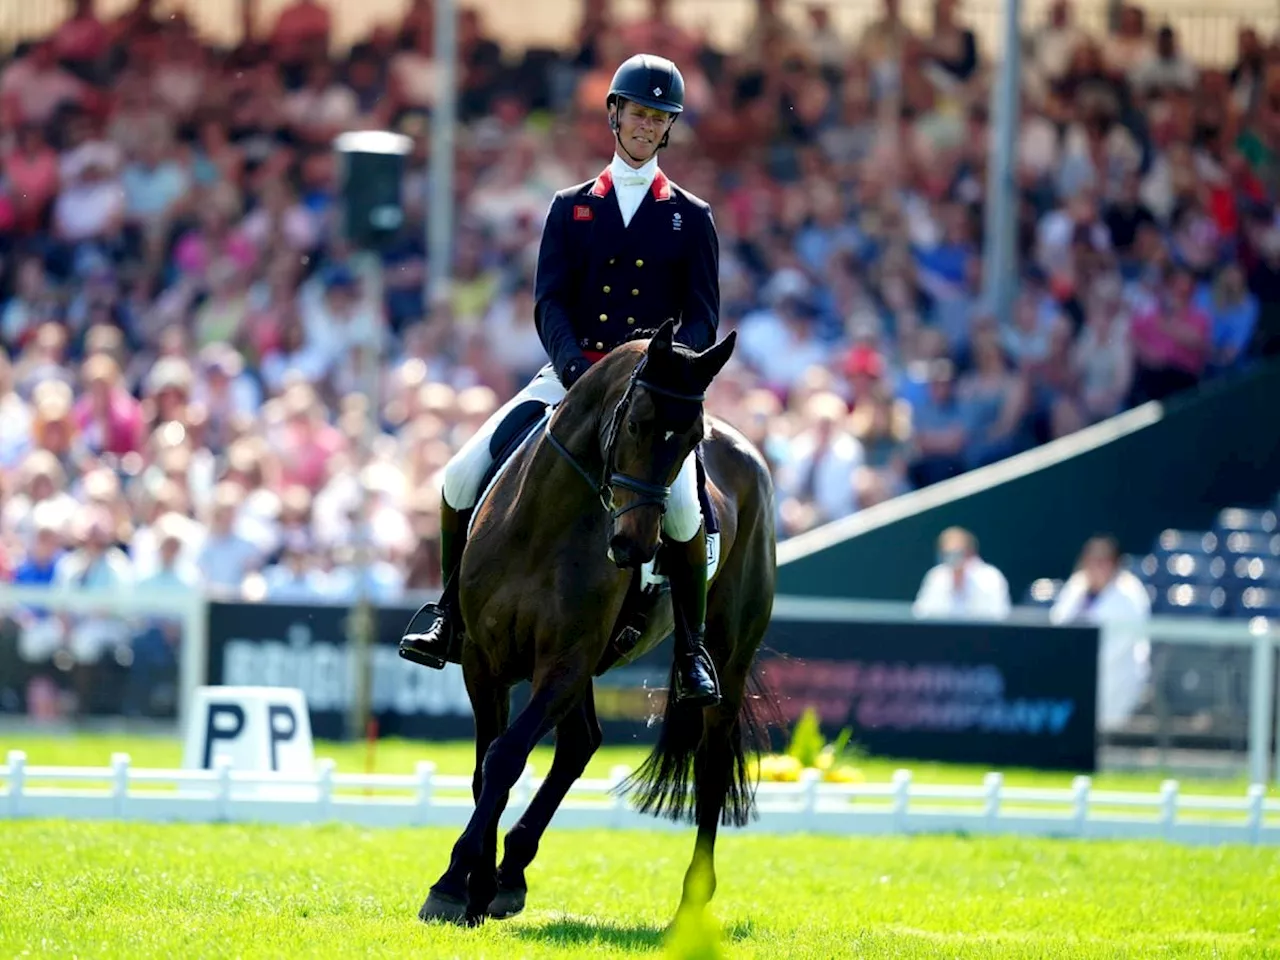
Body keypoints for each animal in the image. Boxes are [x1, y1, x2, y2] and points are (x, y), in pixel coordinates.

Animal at [419, 320, 773, 926]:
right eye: (636, 423)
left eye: (691, 438)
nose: (636, 546)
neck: (544, 525)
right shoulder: (483, 661)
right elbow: (486, 766)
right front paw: (472, 887)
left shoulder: (564, 662)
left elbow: (506, 756)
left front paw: (453, 881)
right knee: (581, 742)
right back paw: (512, 874)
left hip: (728, 657)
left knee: (710, 763)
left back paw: (692, 901)